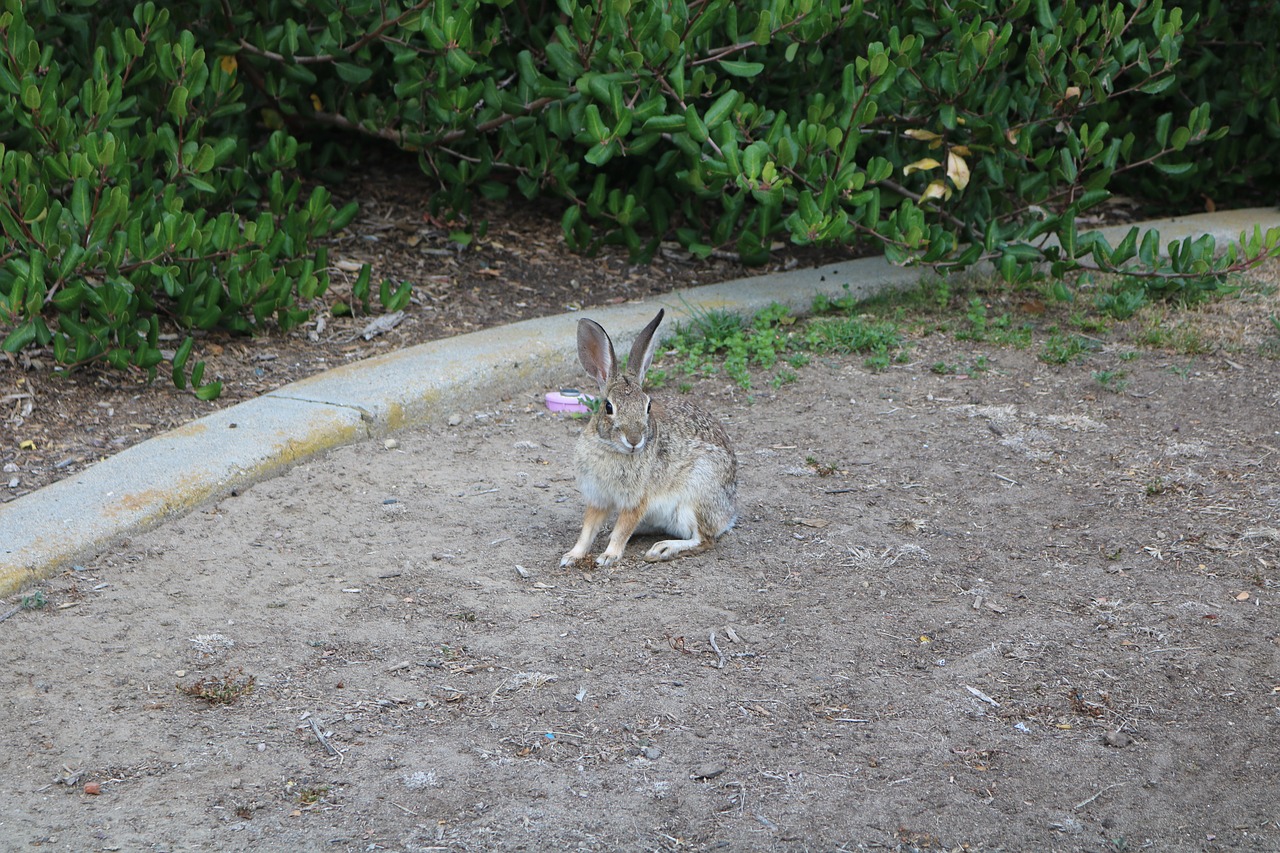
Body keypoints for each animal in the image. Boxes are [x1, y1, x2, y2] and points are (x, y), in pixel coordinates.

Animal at [560, 307, 742, 563]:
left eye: (648, 406)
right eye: (608, 407)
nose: (634, 440)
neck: (613, 450)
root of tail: (728, 514)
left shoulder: (637, 500)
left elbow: (623, 528)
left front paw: (608, 556)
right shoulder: (598, 498)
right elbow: (588, 530)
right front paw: (572, 556)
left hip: (697, 495)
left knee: (704, 539)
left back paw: (663, 549)